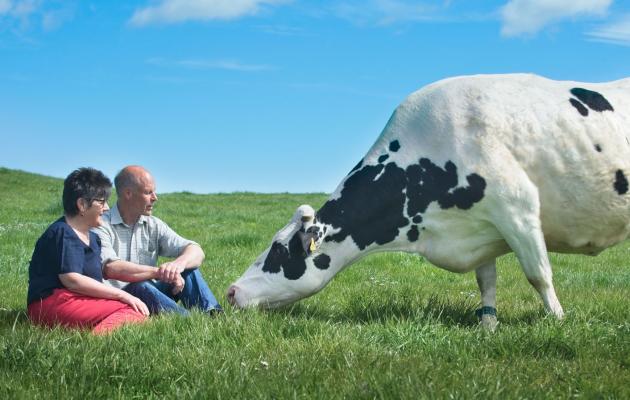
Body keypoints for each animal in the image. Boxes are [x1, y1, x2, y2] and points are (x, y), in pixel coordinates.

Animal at [227, 74, 630, 328]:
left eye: (279, 250)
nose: (231, 291)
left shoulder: (518, 209)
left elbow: (539, 275)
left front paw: (558, 320)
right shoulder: (482, 228)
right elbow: (487, 280)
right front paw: (488, 325)